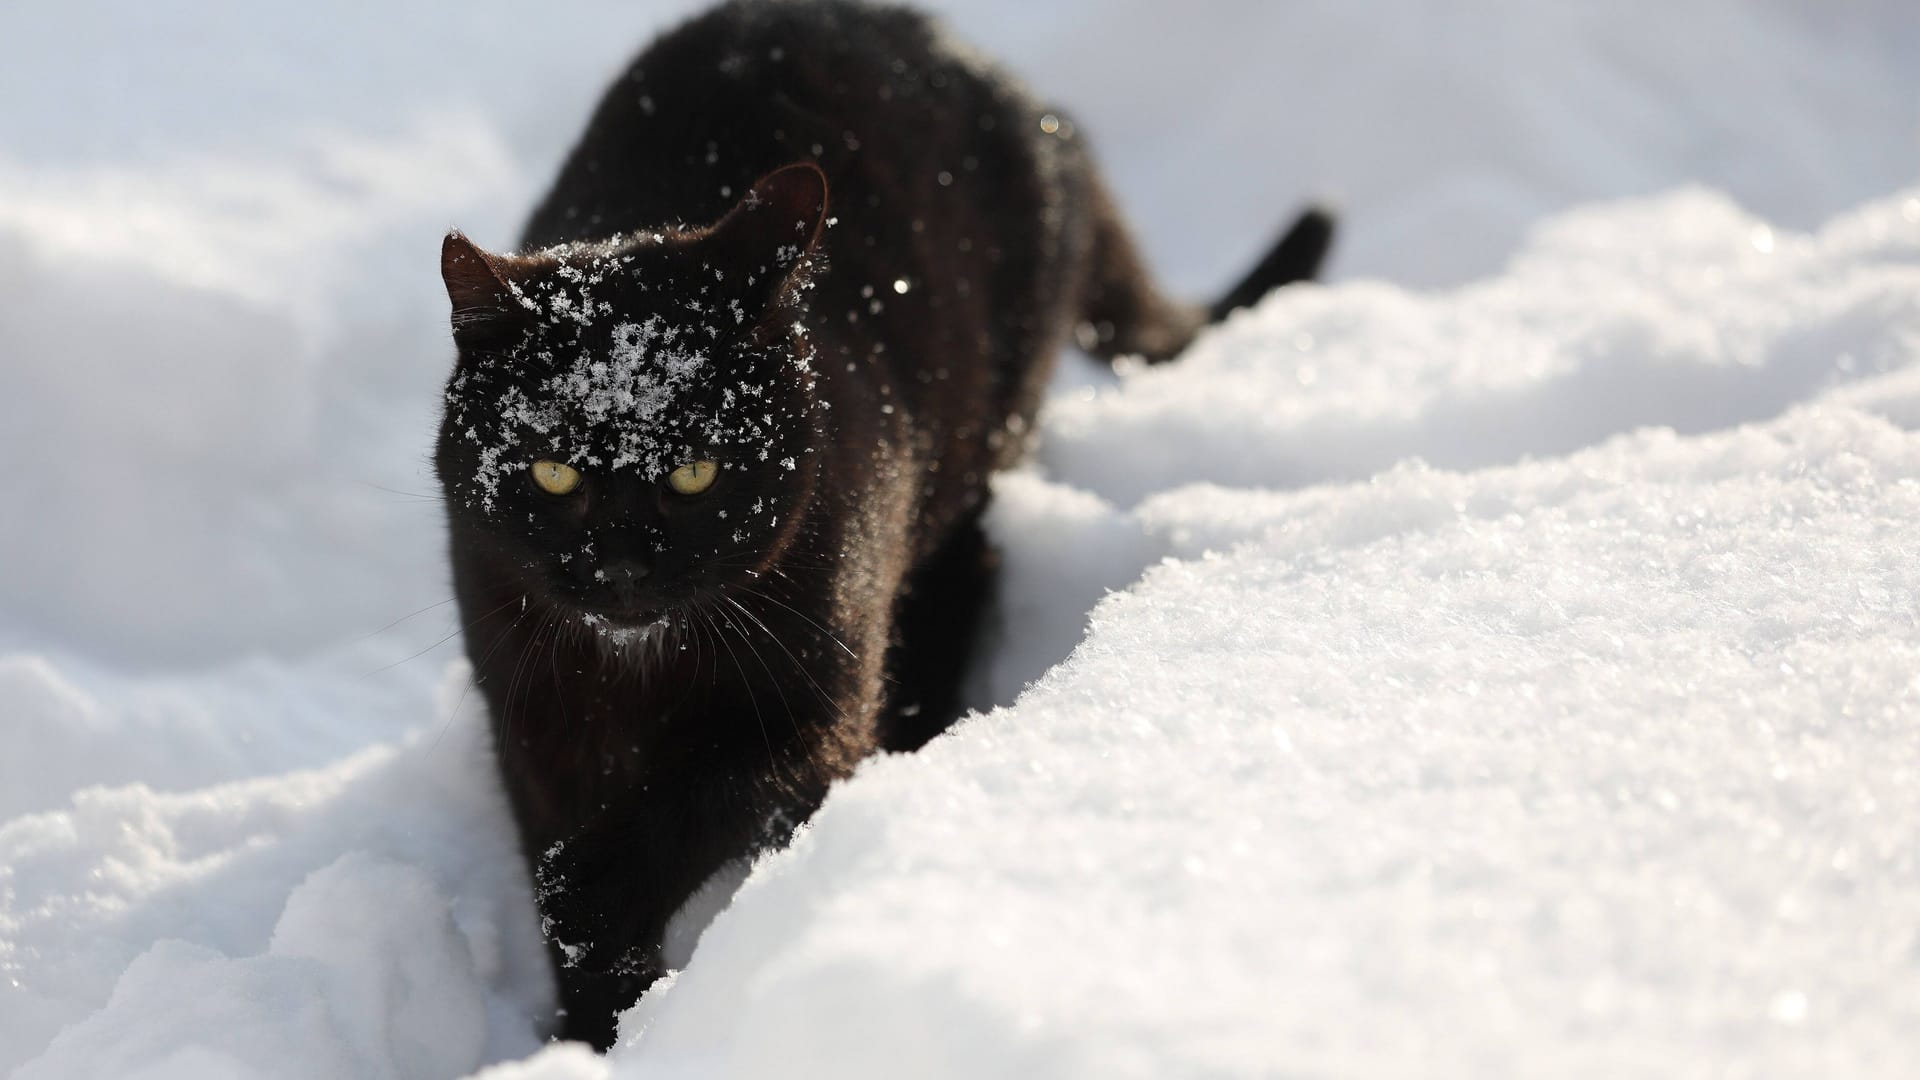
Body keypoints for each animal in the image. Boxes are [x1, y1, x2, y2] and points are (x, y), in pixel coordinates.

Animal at [435, 0, 1336, 1045]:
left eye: (696, 474)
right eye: (553, 473)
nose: (622, 567)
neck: (638, 669)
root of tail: (1030, 103)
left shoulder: (813, 705)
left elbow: (665, 823)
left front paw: (602, 944)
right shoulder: (530, 718)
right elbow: (567, 880)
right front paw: (591, 1035)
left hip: (977, 445)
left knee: (968, 574)